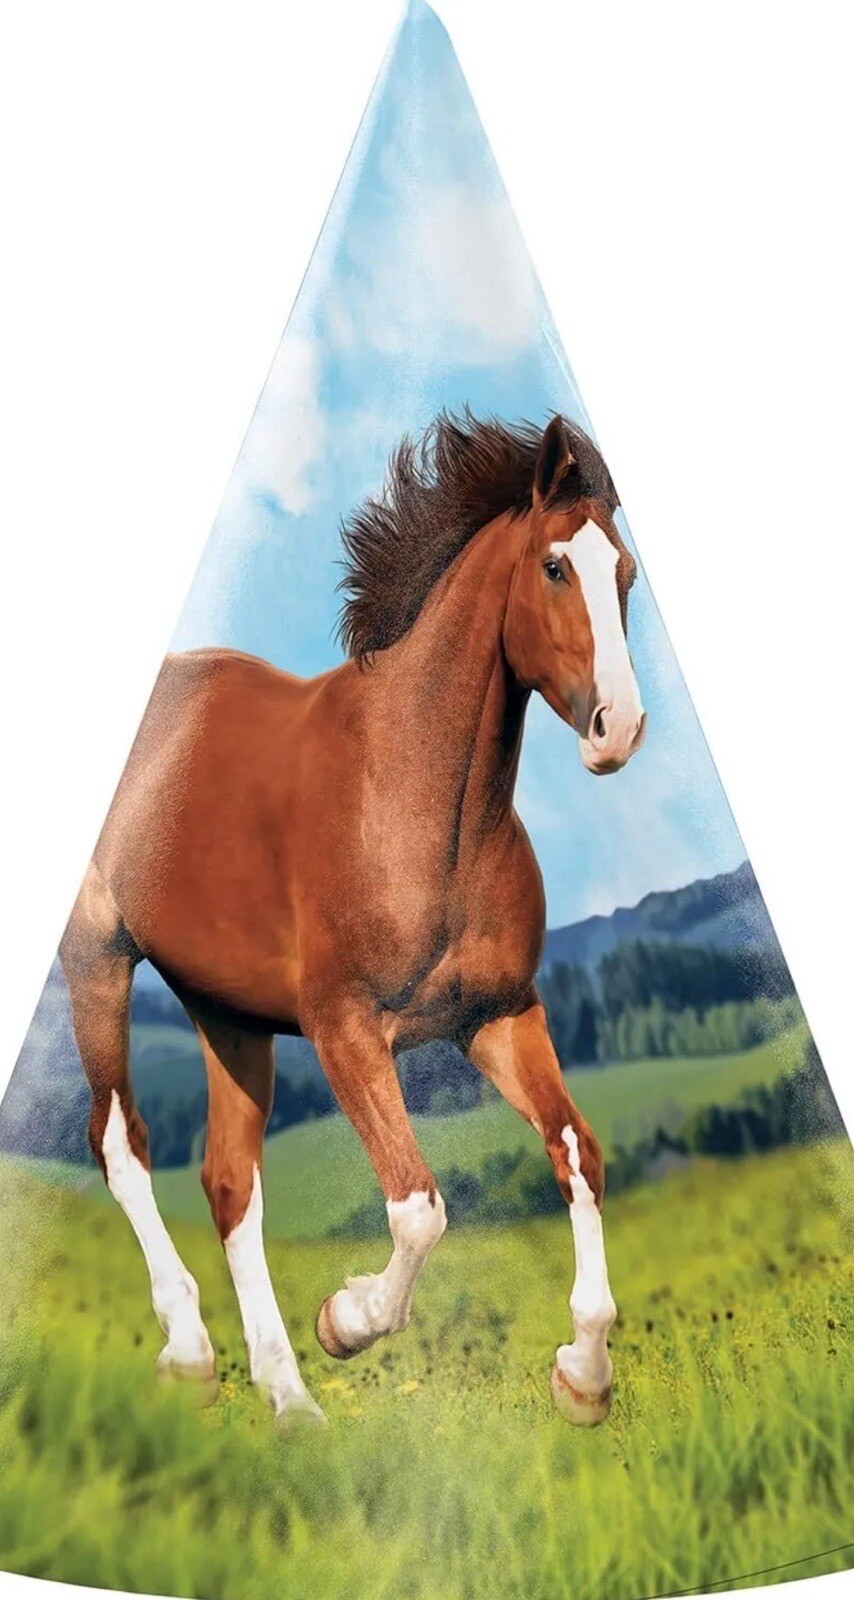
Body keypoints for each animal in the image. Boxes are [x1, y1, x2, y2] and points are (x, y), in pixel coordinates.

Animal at [59, 411, 646, 1427]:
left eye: (627, 575)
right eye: (553, 567)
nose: (622, 728)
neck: (416, 803)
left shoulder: (498, 1015)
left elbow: (579, 1153)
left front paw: (583, 1375)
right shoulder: (345, 1031)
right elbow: (419, 1206)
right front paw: (349, 1319)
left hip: (229, 1013)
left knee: (228, 1181)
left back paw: (290, 1403)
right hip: (96, 957)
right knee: (120, 1146)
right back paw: (192, 1356)